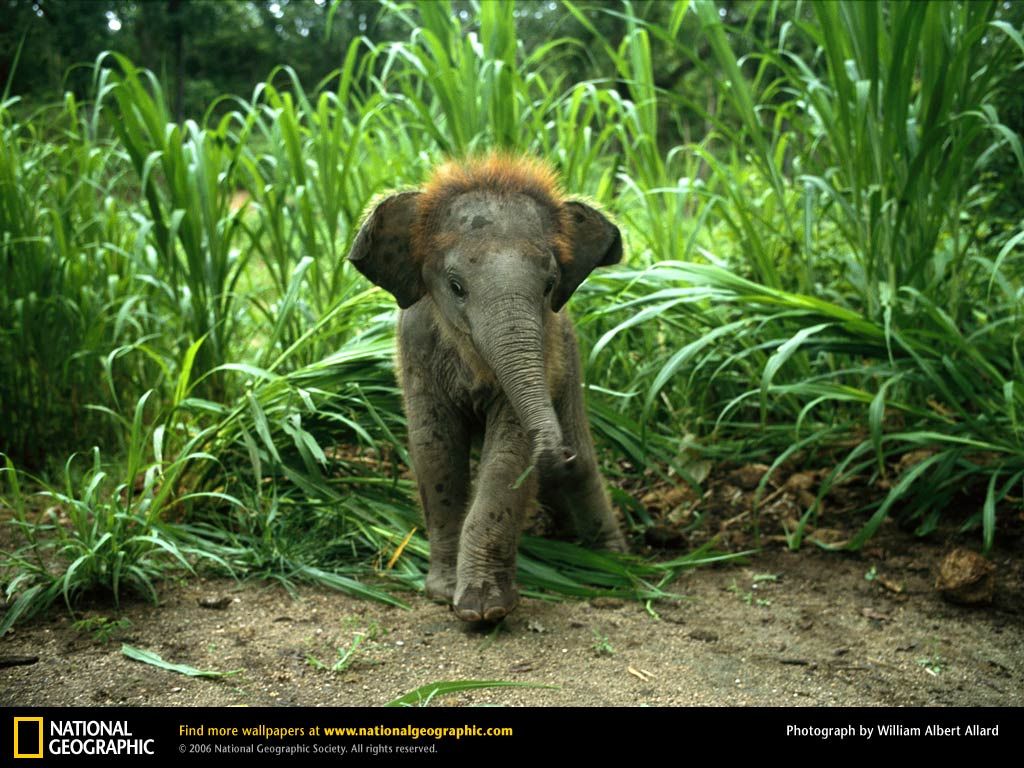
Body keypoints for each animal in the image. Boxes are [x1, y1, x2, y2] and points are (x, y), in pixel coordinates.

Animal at [347, 154, 627, 622]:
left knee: (584, 469)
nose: (558, 453)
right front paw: (444, 594)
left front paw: (483, 611)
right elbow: (435, 450)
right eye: (456, 286)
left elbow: (508, 458)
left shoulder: (547, 351)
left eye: (549, 285)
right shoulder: (416, 349)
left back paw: (613, 565)